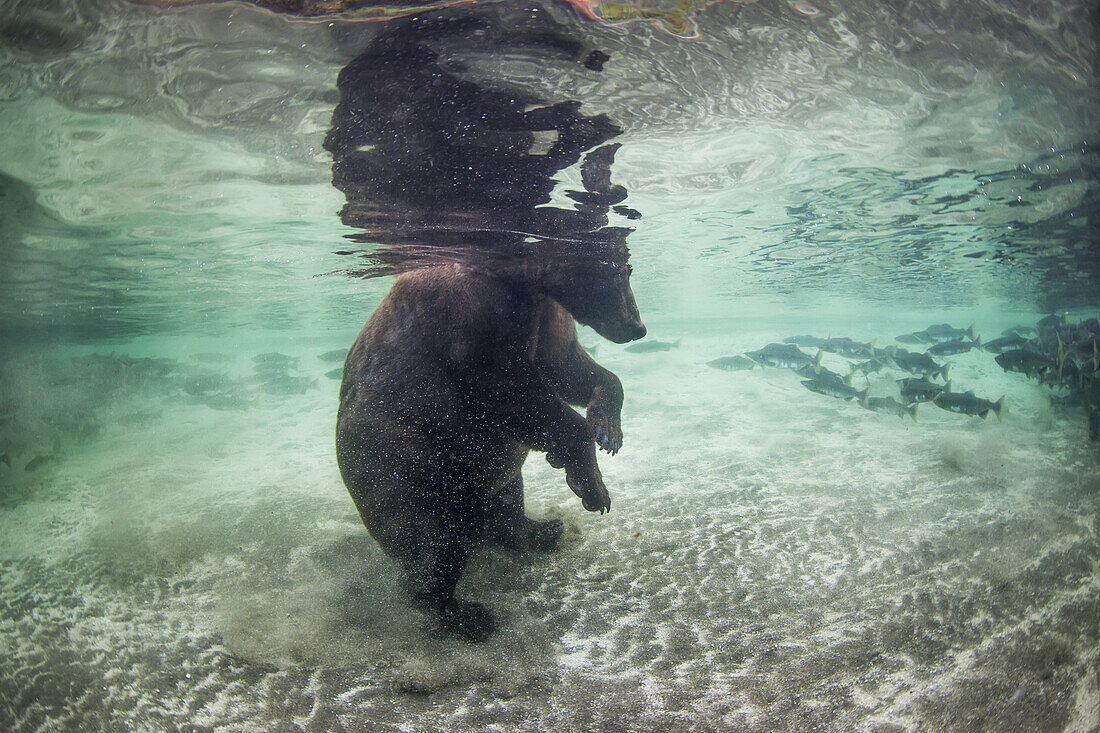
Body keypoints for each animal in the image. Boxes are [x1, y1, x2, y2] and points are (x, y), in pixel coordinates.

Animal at [334, 244, 642, 633]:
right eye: (619, 274)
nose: (637, 327)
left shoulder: (544, 314)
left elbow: (566, 364)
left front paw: (608, 430)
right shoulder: (472, 315)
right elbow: (509, 386)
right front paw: (592, 488)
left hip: (480, 472)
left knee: (506, 499)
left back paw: (543, 529)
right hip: (403, 464)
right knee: (432, 538)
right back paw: (464, 613)